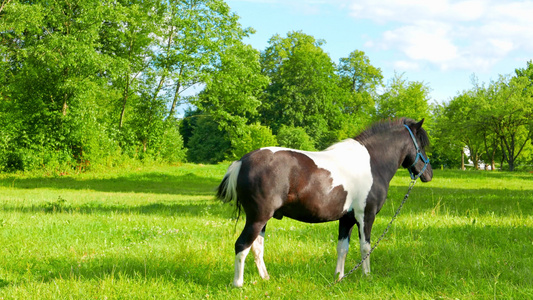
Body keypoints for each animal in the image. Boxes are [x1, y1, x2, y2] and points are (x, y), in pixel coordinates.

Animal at [216, 116, 432, 286]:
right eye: (421, 145)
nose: (428, 173)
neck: (372, 164)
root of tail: (242, 161)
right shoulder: (366, 216)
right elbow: (365, 247)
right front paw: (367, 277)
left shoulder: (347, 219)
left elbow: (342, 248)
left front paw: (339, 278)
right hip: (257, 218)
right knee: (242, 246)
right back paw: (238, 284)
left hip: (262, 220)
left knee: (257, 247)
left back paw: (265, 278)